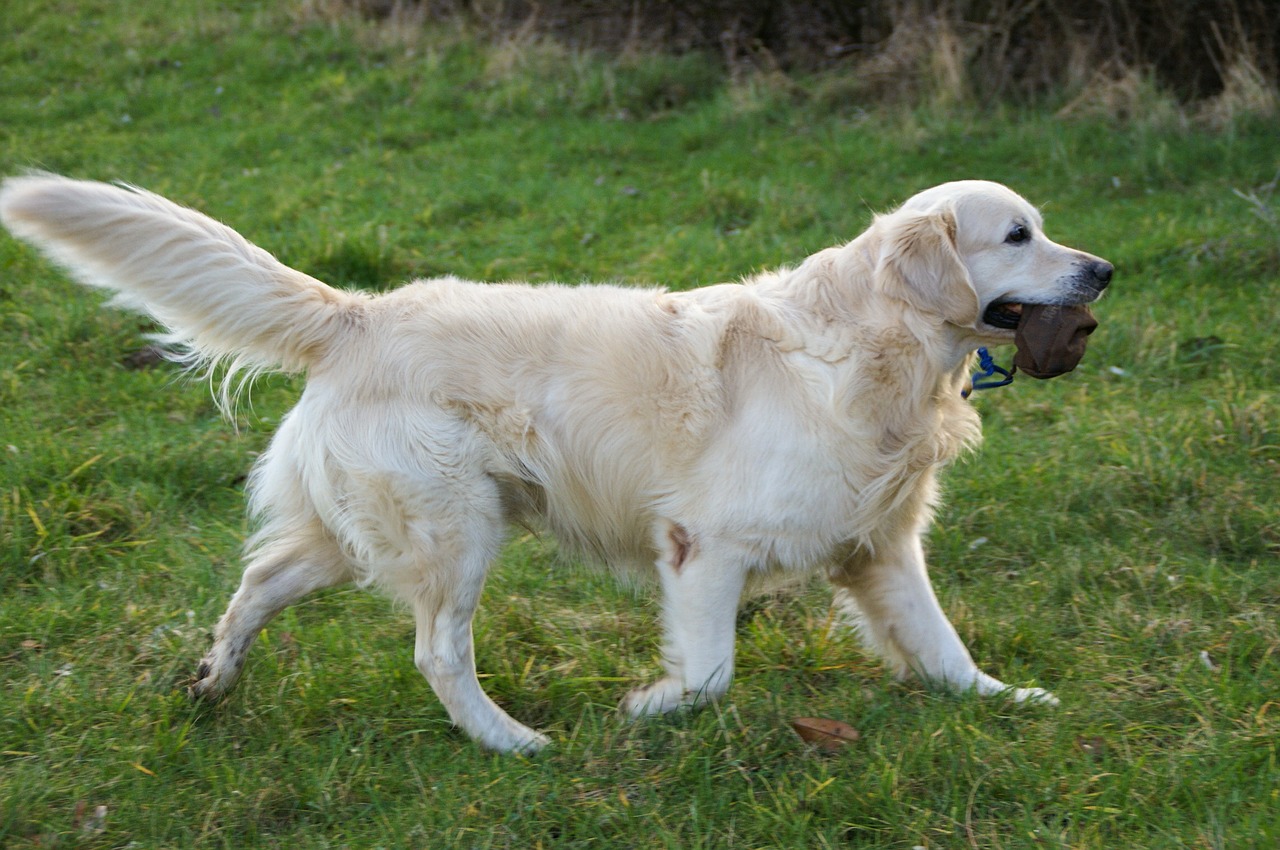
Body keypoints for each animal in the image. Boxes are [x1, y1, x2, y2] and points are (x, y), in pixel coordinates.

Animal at [0, 172, 1111, 752]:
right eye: (1017, 235)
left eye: (1045, 228)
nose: (1103, 268)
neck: (872, 351)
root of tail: (359, 312)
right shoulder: (703, 546)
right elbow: (711, 670)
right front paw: (652, 706)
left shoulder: (879, 548)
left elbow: (941, 645)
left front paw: (1004, 701)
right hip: (456, 527)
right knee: (436, 651)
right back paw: (508, 740)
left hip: (356, 532)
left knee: (260, 578)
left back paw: (212, 680)